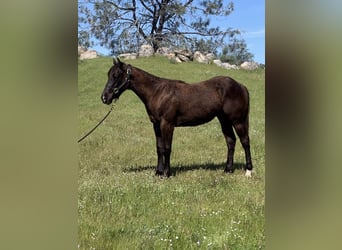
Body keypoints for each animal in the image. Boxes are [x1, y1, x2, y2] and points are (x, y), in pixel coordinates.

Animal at [100, 57, 252, 177]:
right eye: (108, 74)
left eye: (116, 74)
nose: (104, 97)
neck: (157, 92)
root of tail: (241, 86)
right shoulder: (156, 125)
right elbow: (159, 148)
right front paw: (158, 172)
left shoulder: (167, 124)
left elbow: (167, 148)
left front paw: (167, 173)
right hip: (224, 120)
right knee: (231, 141)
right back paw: (228, 170)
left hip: (238, 121)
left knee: (245, 141)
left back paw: (248, 171)